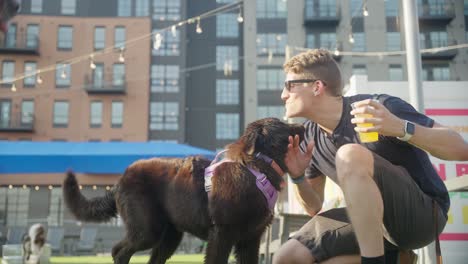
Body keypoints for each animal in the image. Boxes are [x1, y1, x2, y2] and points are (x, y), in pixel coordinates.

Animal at [63, 118, 304, 264]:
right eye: (283, 124)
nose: (303, 126)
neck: (255, 168)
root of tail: (121, 178)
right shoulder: (222, 234)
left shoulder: (250, 240)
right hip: (147, 230)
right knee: (118, 251)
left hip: (169, 236)